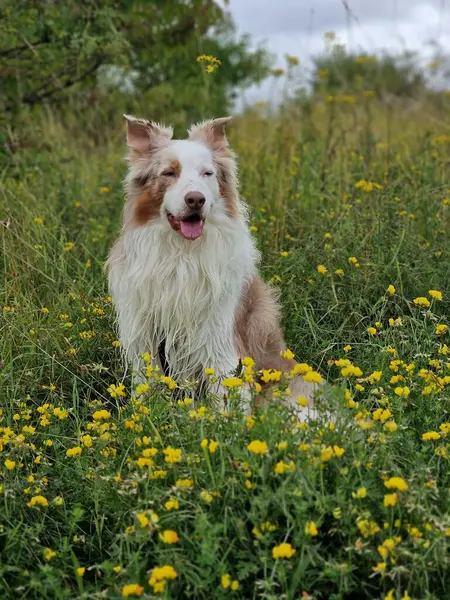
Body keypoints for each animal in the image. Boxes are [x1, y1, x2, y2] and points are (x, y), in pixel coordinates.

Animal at [106, 116, 320, 418]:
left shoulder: (218, 339)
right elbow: (147, 388)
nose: (196, 199)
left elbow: (226, 397)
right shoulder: (146, 338)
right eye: (169, 173)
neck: (181, 255)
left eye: (207, 173)